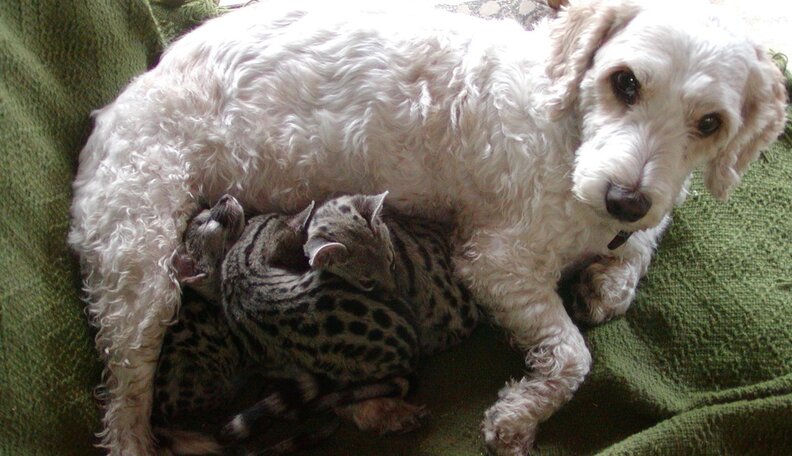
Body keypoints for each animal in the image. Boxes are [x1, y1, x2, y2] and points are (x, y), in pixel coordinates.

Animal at [68, 0, 787, 454]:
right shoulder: (495, 264)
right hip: (139, 272)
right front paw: (517, 416)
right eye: (625, 82)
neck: (568, 131)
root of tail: (114, 106)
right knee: (123, 411)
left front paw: (610, 280)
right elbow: (571, 357)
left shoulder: (646, 211)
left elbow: (645, 242)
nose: (624, 198)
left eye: (710, 124)